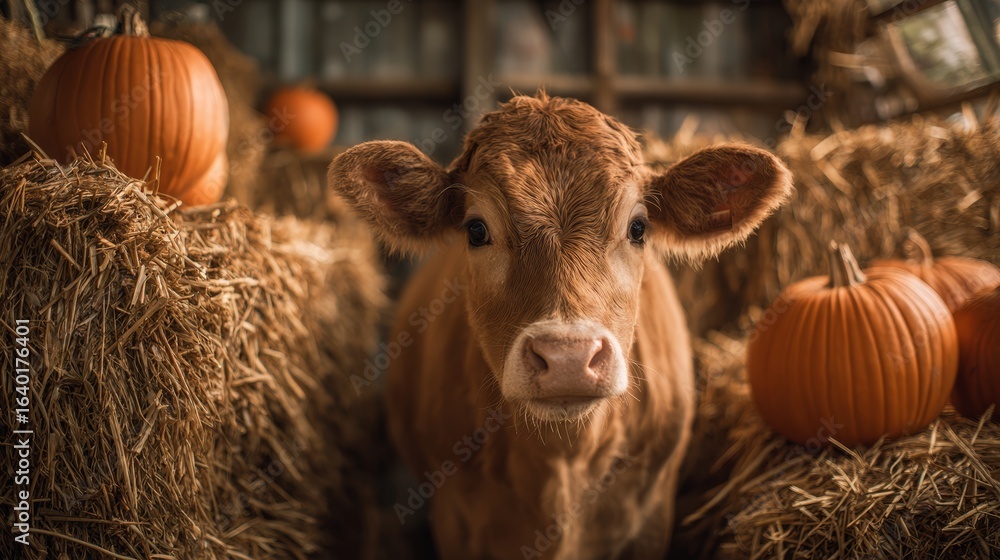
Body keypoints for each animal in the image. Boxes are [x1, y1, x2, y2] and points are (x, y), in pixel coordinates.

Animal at [329, 93, 791, 559]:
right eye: (476, 230)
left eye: (638, 227)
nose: (568, 357)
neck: (565, 459)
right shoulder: (454, 519)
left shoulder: (652, 517)